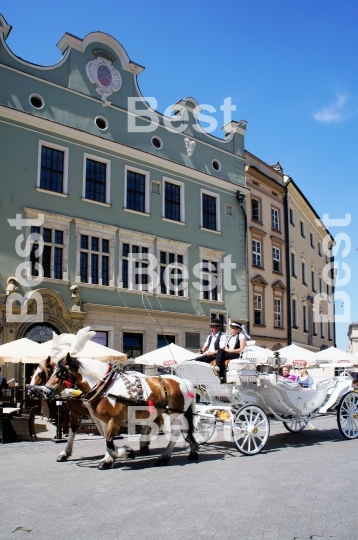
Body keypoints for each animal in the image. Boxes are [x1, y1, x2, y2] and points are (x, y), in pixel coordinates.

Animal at [44, 354, 199, 468]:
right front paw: (114, 456)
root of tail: (184, 381)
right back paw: (193, 450)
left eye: (60, 373)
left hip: (176, 413)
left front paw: (117, 456)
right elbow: (107, 439)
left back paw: (164, 456)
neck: (105, 387)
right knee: (184, 430)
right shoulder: (102, 419)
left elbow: (109, 440)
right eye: (52, 371)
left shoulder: (115, 419)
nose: (45, 392)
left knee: (175, 433)